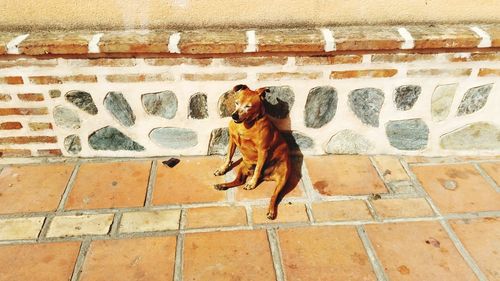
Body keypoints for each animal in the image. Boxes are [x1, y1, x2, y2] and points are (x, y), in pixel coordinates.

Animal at [213, 84, 292, 220]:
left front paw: (252, 183)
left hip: (283, 178)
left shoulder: (263, 150)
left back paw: (271, 211)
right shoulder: (232, 140)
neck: (246, 124)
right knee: (239, 181)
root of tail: (266, 177)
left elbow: (258, 168)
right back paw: (222, 185)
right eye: (236, 103)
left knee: (274, 196)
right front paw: (222, 169)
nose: (234, 116)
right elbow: (228, 156)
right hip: (242, 165)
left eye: (248, 106)